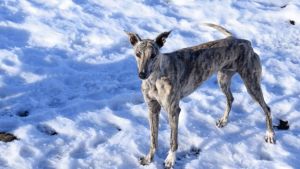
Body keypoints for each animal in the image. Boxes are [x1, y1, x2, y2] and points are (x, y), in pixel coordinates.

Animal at [125, 23, 276, 168]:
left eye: (153, 55)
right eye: (138, 54)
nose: (142, 75)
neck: (155, 78)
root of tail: (244, 42)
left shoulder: (173, 110)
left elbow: (173, 140)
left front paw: (170, 159)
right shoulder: (152, 108)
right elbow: (153, 138)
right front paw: (148, 159)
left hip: (251, 84)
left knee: (267, 108)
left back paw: (270, 134)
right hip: (223, 79)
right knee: (230, 98)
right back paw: (224, 120)